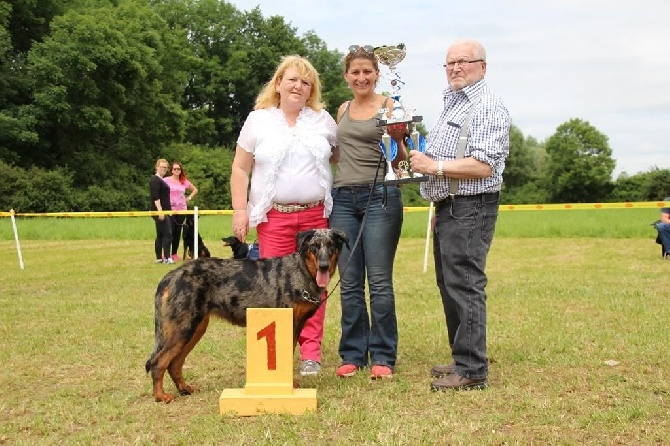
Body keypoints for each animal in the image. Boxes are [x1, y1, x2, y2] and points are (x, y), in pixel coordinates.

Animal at [145, 228, 350, 402]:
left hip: (194, 329)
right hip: (183, 328)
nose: (323, 266)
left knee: (174, 363)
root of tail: (169, 277)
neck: (301, 271)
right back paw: (161, 396)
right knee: (158, 362)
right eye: (314, 246)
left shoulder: (296, 326)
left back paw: (184, 388)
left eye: (331, 245)